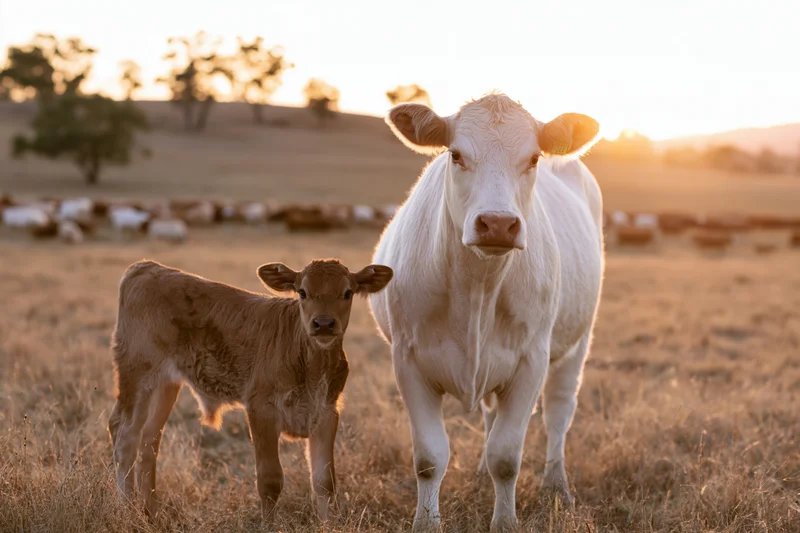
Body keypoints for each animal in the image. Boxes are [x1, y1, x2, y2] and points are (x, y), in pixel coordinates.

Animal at [108, 259, 393, 523]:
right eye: (302, 292)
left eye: (347, 292)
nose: (323, 323)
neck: (310, 364)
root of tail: (147, 267)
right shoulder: (261, 409)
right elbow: (270, 480)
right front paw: (269, 525)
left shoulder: (326, 411)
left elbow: (325, 481)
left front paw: (329, 525)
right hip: (137, 372)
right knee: (125, 435)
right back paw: (127, 511)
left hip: (165, 384)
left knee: (149, 439)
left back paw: (150, 513)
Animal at [369, 94, 604, 532]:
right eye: (456, 154)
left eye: (533, 158)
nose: (497, 223)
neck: (476, 288)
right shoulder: (408, 359)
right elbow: (429, 458)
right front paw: (426, 522)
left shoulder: (532, 360)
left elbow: (506, 457)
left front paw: (505, 521)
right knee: (491, 416)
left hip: (576, 342)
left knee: (558, 414)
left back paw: (557, 486)